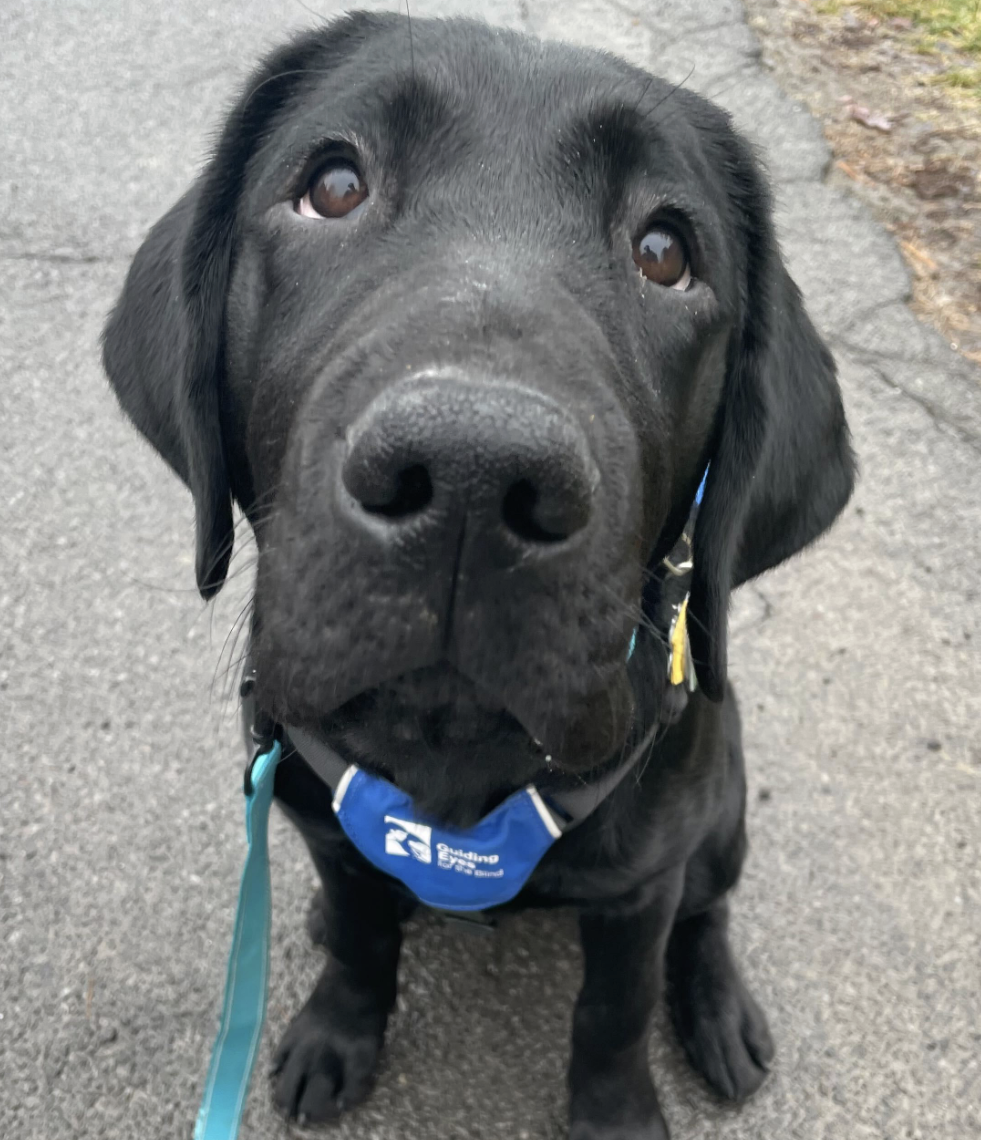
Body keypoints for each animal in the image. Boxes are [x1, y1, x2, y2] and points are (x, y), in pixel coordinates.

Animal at [99, 13, 847, 1135]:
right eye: (333, 186)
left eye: (665, 253)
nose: (470, 475)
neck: (450, 766)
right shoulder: (323, 825)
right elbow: (362, 941)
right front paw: (337, 1029)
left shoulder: (639, 887)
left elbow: (615, 1010)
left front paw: (618, 1112)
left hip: (720, 809)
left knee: (706, 913)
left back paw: (719, 1010)